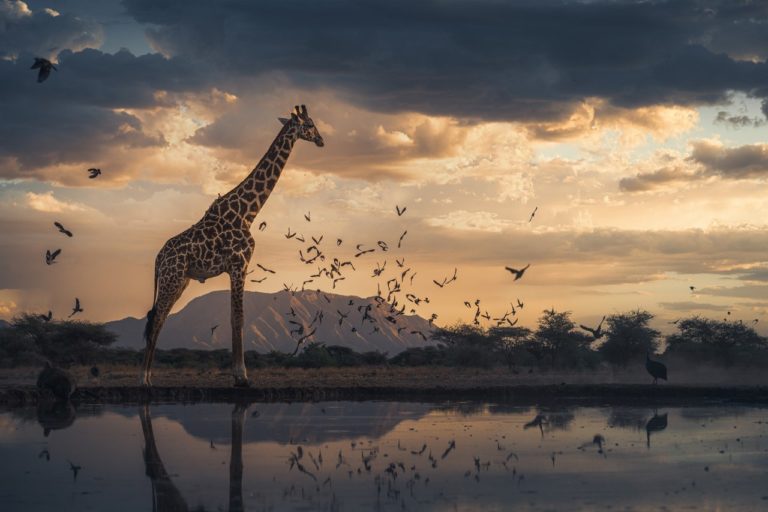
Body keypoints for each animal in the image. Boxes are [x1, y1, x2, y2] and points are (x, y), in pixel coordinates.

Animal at [140, 105, 324, 387]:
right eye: (310, 124)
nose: (321, 140)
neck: (248, 212)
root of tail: (159, 258)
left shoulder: (235, 268)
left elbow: (232, 317)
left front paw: (238, 374)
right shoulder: (240, 264)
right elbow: (238, 318)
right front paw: (242, 376)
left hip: (181, 280)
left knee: (159, 319)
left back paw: (149, 376)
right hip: (172, 278)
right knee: (157, 317)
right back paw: (145, 378)